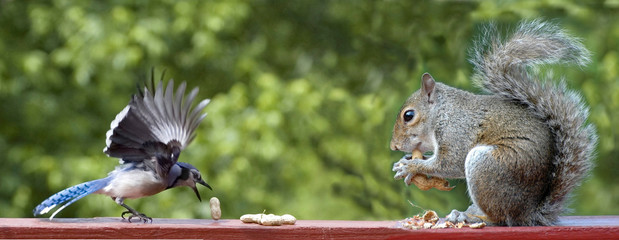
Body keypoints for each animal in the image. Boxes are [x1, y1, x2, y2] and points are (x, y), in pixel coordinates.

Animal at [390, 19, 600, 226]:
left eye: (408, 115)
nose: (394, 146)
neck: (443, 113)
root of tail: (528, 213)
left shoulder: (457, 132)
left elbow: (449, 163)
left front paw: (410, 166)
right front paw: (409, 160)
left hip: (486, 166)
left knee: (499, 217)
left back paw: (469, 217)